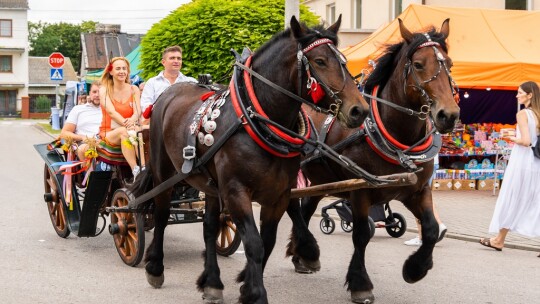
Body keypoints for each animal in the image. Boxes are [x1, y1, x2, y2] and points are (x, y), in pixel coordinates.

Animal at [130, 17, 372, 304]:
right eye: (321, 61)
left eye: (344, 60)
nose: (360, 110)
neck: (256, 118)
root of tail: (167, 95)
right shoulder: (236, 191)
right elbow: (254, 243)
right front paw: (256, 293)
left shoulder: (278, 194)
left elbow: (267, 242)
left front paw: (246, 286)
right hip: (163, 172)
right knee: (162, 214)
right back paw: (155, 267)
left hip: (210, 184)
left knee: (209, 227)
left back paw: (212, 282)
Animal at [286, 19, 460, 304]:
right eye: (419, 64)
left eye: (450, 63)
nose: (449, 115)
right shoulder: (360, 191)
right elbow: (361, 234)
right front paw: (360, 283)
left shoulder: (416, 190)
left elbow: (431, 229)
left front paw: (415, 269)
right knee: (291, 206)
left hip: (319, 178)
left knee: (305, 209)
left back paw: (302, 255)